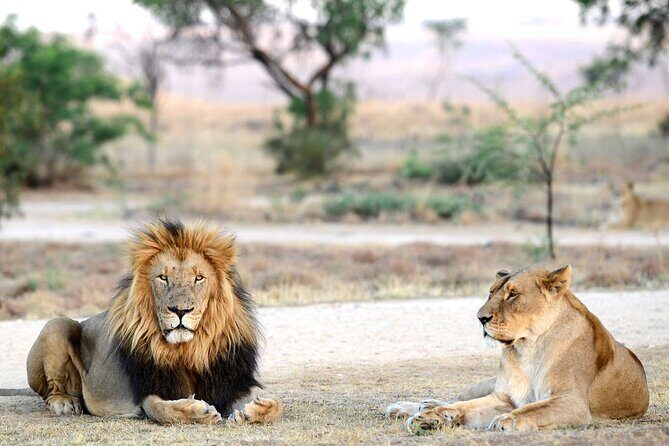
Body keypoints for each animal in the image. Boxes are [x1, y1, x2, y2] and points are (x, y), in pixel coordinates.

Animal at [26, 218, 283, 425]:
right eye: (163, 278)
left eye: (199, 278)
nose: (181, 310)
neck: (190, 349)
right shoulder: (149, 388)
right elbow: (161, 409)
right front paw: (198, 411)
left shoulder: (232, 379)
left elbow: (278, 403)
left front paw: (258, 409)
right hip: (57, 324)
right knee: (51, 390)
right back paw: (65, 402)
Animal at [386, 265, 649, 432]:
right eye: (490, 292)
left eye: (512, 295)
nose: (480, 318)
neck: (527, 348)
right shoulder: (502, 396)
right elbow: (462, 406)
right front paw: (430, 418)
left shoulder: (573, 402)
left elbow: (533, 410)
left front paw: (507, 420)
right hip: (487, 383)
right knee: (455, 397)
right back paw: (412, 407)